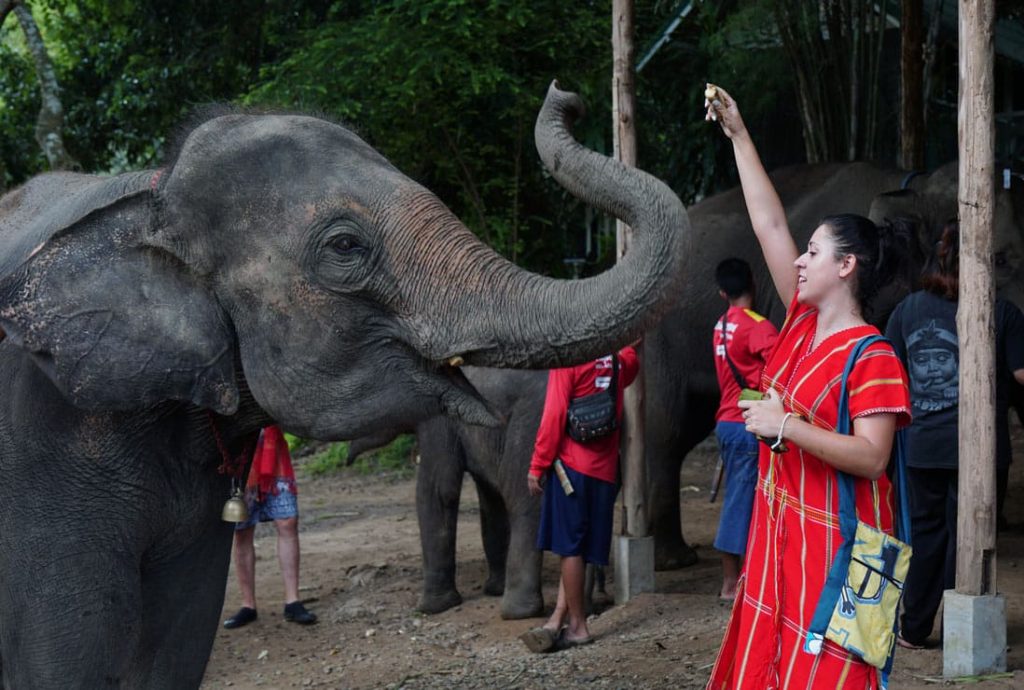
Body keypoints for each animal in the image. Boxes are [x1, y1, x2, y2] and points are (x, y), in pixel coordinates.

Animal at [0, 82, 689, 689]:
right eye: (344, 245)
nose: (567, 96)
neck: (153, 195)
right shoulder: (43, 449)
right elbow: (69, 661)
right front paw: (436, 608)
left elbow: (178, 648)